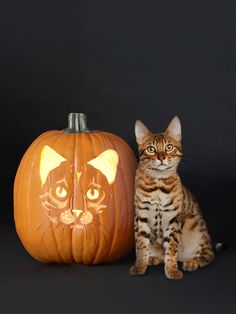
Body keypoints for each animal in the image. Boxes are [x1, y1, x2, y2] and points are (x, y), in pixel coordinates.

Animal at [129, 117, 214, 280]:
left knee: (209, 254)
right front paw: (140, 265)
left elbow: (172, 247)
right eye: (151, 149)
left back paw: (192, 262)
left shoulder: (173, 219)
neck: (158, 185)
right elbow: (141, 245)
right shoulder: (140, 216)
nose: (161, 158)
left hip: (195, 227)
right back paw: (154, 258)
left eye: (168, 147)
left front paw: (172, 269)